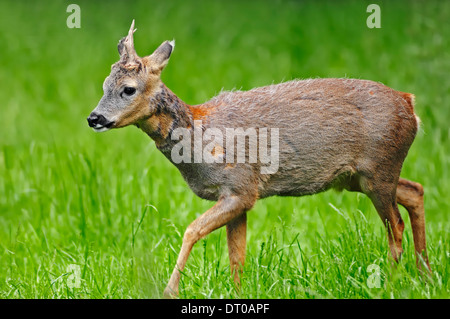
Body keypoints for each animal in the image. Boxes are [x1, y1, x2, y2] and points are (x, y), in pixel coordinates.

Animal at [87, 21, 428, 298]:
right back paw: (424, 275)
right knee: (415, 191)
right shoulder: (236, 197)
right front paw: (237, 292)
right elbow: (236, 256)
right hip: (360, 177)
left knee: (396, 226)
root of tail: (411, 107)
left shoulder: (241, 188)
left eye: (128, 89)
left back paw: (390, 285)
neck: (200, 137)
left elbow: (192, 230)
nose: (94, 118)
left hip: (378, 169)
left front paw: (170, 290)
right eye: (103, 85)